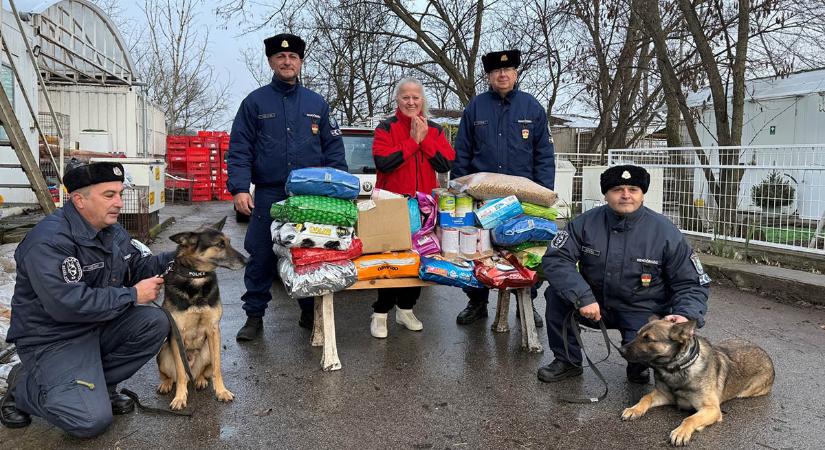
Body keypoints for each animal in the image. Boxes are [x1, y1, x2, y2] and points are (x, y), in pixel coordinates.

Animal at [154, 218, 245, 412]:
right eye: (219, 244)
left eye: (229, 242)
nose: (247, 260)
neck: (197, 277)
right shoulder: (177, 334)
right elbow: (181, 373)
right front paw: (180, 397)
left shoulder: (214, 330)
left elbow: (217, 369)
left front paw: (222, 391)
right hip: (163, 352)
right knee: (172, 375)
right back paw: (166, 383)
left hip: (207, 351)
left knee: (202, 372)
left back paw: (201, 380)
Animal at [616, 316, 772, 446]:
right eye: (637, 335)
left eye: (648, 339)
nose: (620, 350)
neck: (678, 369)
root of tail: (765, 353)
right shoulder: (663, 395)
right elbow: (646, 397)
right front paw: (634, 409)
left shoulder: (712, 409)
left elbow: (690, 418)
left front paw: (681, 431)